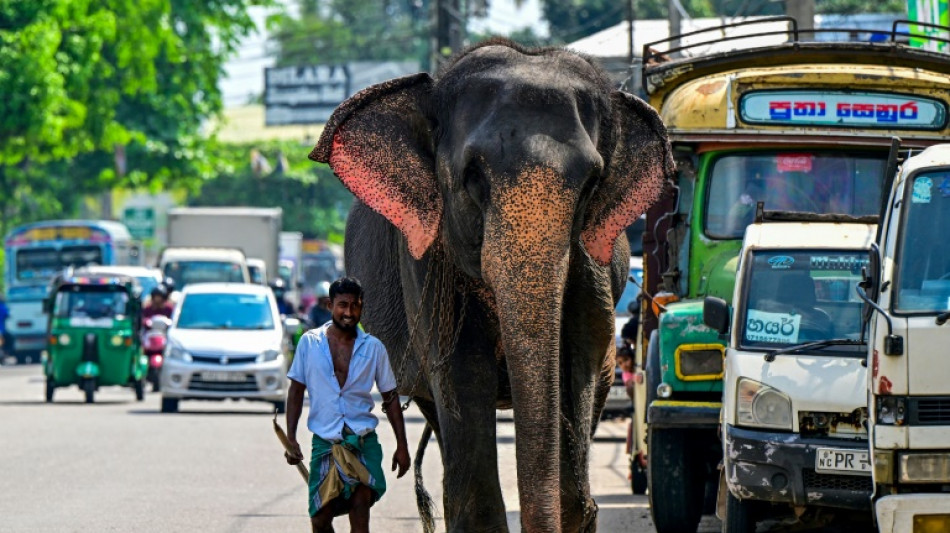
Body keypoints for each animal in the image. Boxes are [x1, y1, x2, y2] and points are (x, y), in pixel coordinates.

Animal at [308, 39, 672, 528]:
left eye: (592, 182)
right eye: (472, 176)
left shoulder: (591, 267)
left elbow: (579, 363)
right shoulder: (427, 260)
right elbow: (462, 372)